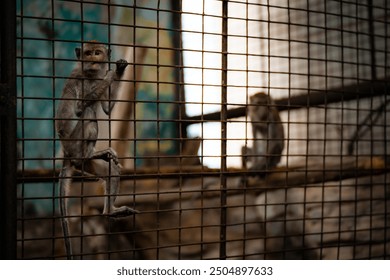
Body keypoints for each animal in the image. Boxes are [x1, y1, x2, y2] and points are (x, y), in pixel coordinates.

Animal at [55, 42, 138, 260]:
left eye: (97, 53)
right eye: (88, 53)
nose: (93, 60)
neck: (91, 75)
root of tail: (67, 153)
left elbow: (107, 109)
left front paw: (119, 70)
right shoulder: (80, 79)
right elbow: (80, 106)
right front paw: (110, 74)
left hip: (83, 164)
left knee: (111, 171)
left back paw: (109, 211)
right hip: (74, 143)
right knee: (88, 113)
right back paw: (92, 153)